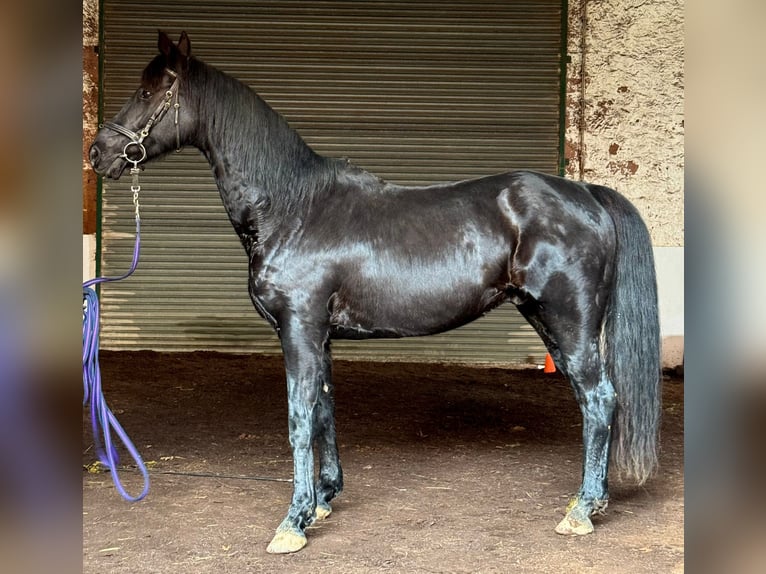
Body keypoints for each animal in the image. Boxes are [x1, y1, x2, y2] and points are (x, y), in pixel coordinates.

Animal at [89, 31, 661, 554]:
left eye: (149, 90)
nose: (99, 152)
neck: (293, 208)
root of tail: (586, 192)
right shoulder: (319, 336)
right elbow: (323, 410)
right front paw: (322, 500)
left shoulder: (299, 330)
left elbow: (299, 418)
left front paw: (292, 523)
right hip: (549, 323)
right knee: (593, 401)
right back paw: (590, 501)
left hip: (569, 322)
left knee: (600, 399)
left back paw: (582, 512)